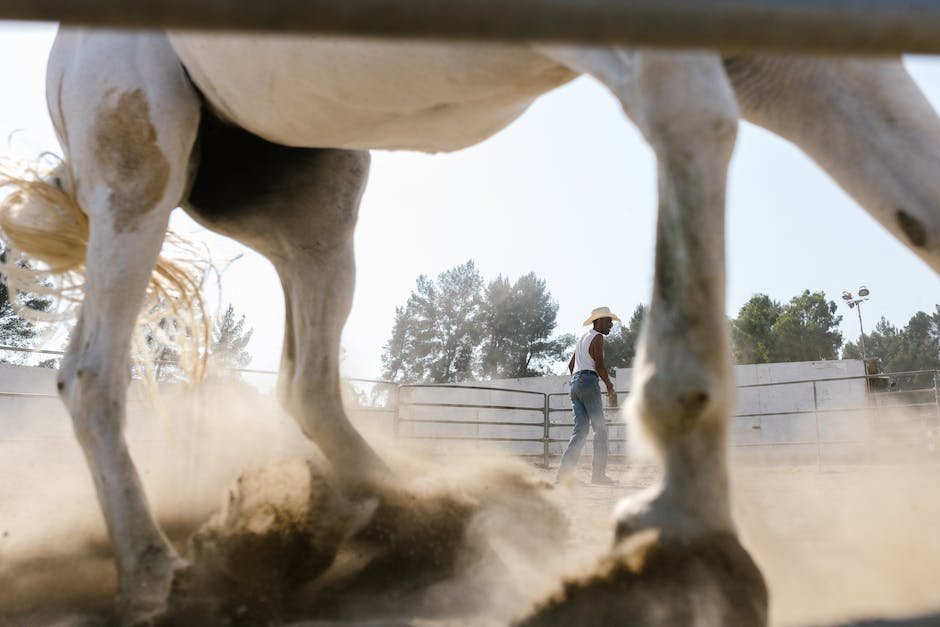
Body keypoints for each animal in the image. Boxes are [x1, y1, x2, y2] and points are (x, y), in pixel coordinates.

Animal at [1, 25, 940, 627]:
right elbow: (693, 117)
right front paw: (679, 540)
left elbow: (920, 199)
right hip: (137, 166)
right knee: (91, 370)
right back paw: (156, 576)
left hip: (312, 193)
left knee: (308, 380)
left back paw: (426, 515)